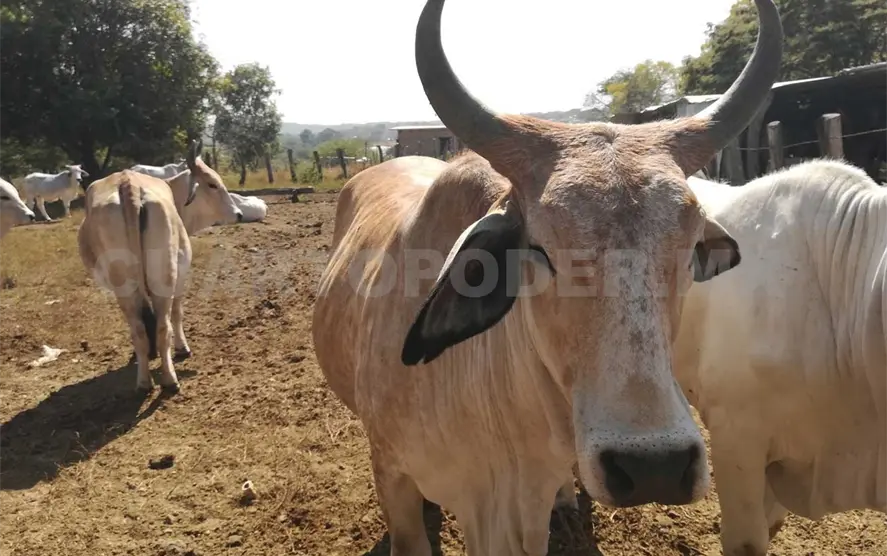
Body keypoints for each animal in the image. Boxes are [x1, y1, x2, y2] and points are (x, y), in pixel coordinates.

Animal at [78, 140, 241, 392]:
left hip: (124, 284)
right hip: (165, 276)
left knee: (138, 329)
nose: (238, 214)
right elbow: (177, 312)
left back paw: (144, 380)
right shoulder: (181, 274)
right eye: (212, 184)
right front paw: (182, 347)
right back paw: (170, 378)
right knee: (164, 326)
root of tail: (128, 185)